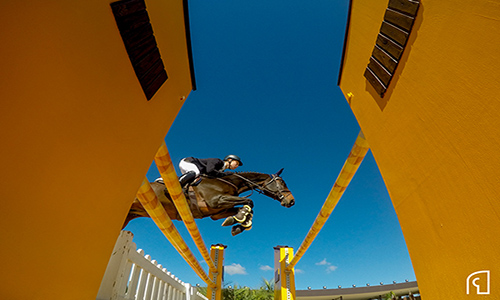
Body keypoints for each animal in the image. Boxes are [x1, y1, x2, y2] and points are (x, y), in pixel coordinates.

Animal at [124, 169, 292, 234]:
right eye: (282, 183)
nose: (292, 201)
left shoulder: (217, 212)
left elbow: (240, 209)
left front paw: (238, 224)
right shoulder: (215, 201)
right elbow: (249, 202)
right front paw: (241, 221)